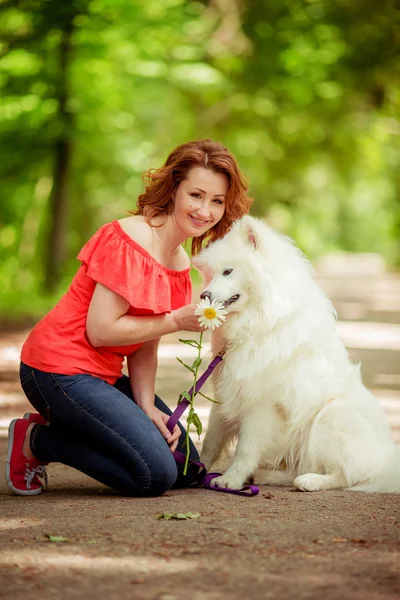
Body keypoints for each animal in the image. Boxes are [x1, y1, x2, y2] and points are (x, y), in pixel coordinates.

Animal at [192, 216, 398, 492]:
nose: (203, 295)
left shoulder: (263, 403)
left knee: (346, 474)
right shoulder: (228, 392)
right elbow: (211, 441)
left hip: (330, 417)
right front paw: (194, 469)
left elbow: (246, 448)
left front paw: (231, 480)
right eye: (211, 274)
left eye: (228, 271)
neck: (258, 323)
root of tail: (387, 462)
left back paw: (309, 481)